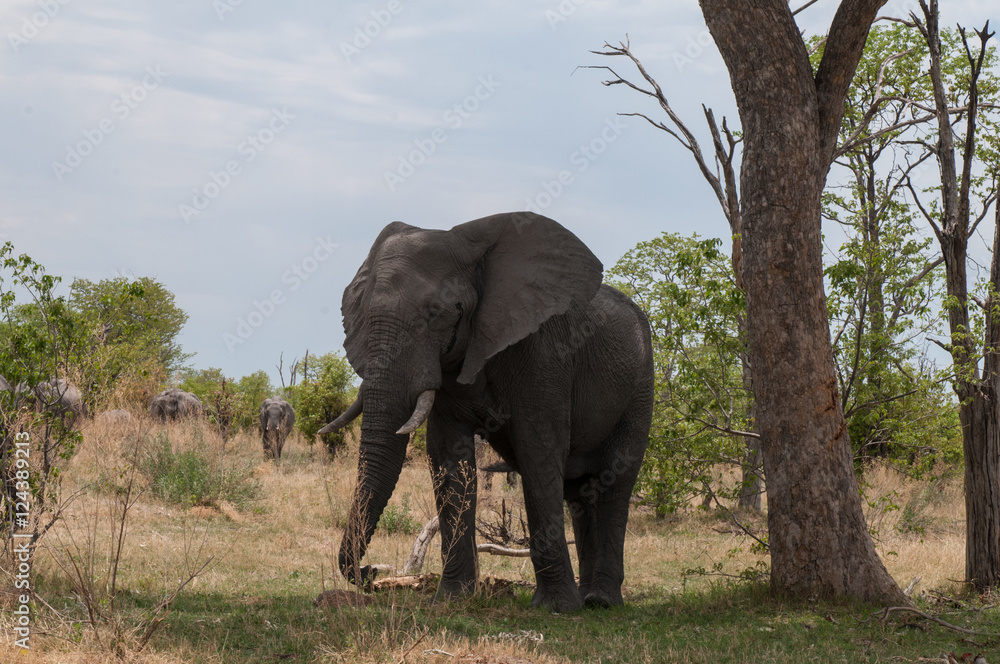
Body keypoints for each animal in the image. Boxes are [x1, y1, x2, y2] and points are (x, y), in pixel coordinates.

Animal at [320, 213, 656, 612]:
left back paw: (601, 601)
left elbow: (538, 453)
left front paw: (556, 608)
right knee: (581, 492)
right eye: (364, 315)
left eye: (438, 314)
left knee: (614, 481)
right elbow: (448, 457)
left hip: (640, 387)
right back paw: (589, 597)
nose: (370, 572)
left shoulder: (545, 355)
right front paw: (452, 599)